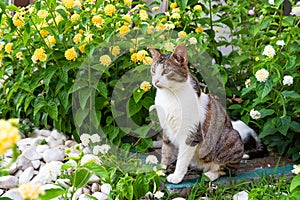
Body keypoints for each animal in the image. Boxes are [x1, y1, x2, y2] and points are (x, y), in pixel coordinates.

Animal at [149, 44, 245, 184]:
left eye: (166, 71)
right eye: (153, 70)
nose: (155, 81)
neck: (170, 96)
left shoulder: (191, 133)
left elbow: (182, 159)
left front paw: (176, 176)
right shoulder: (167, 130)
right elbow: (166, 152)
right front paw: (161, 169)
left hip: (232, 138)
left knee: (227, 170)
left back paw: (210, 174)